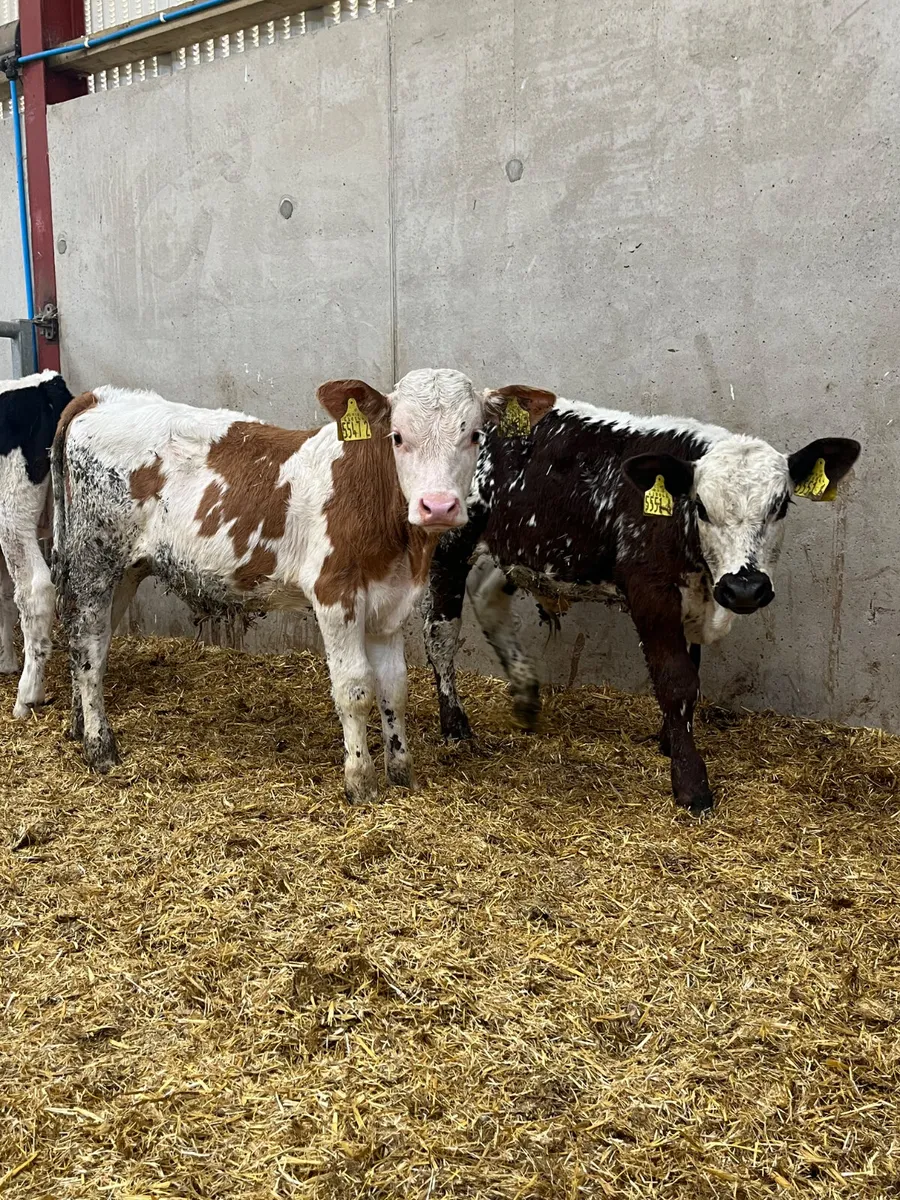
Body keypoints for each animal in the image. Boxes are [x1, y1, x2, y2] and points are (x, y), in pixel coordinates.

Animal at [51, 370, 536, 803]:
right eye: (397, 436)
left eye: (475, 436)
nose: (438, 506)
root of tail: (104, 396)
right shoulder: (335, 593)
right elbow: (355, 689)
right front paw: (360, 782)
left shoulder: (391, 602)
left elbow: (394, 689)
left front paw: (401, 773)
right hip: (95, 557)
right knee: (89, 644)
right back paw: (99, 747)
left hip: (128, 569)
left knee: (92, 642)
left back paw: (78, 724)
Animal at [423, 384, 861, 815]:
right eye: (701, 507)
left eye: (781, 506)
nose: (745, 588)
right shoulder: (649, 591)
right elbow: (676, 681)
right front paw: (690, 783)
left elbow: (692, 673)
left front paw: (668, 741)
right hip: (450, 544)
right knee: (441, 635)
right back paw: (455, 724)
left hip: (516, 548)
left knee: (487, 601)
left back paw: (526, 699)